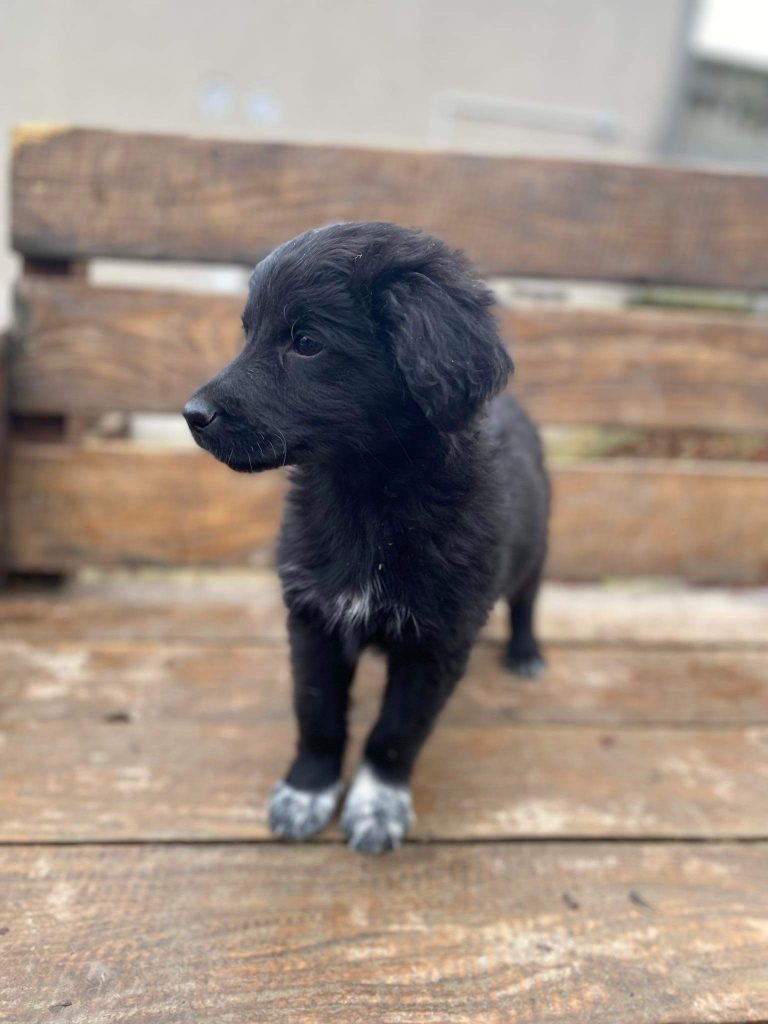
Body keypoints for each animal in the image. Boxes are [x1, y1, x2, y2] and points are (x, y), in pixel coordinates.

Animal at [184, 221, 550, 854]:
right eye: (249, 332)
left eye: (307, 342)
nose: (192, 414)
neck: (365, 500)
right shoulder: (314, 619)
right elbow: (317, 713)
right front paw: (306, 792)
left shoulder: (438, 641)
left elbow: (396, 731)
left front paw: (377, 806)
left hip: (537, 547)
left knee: (526, 600)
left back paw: (525, 652)